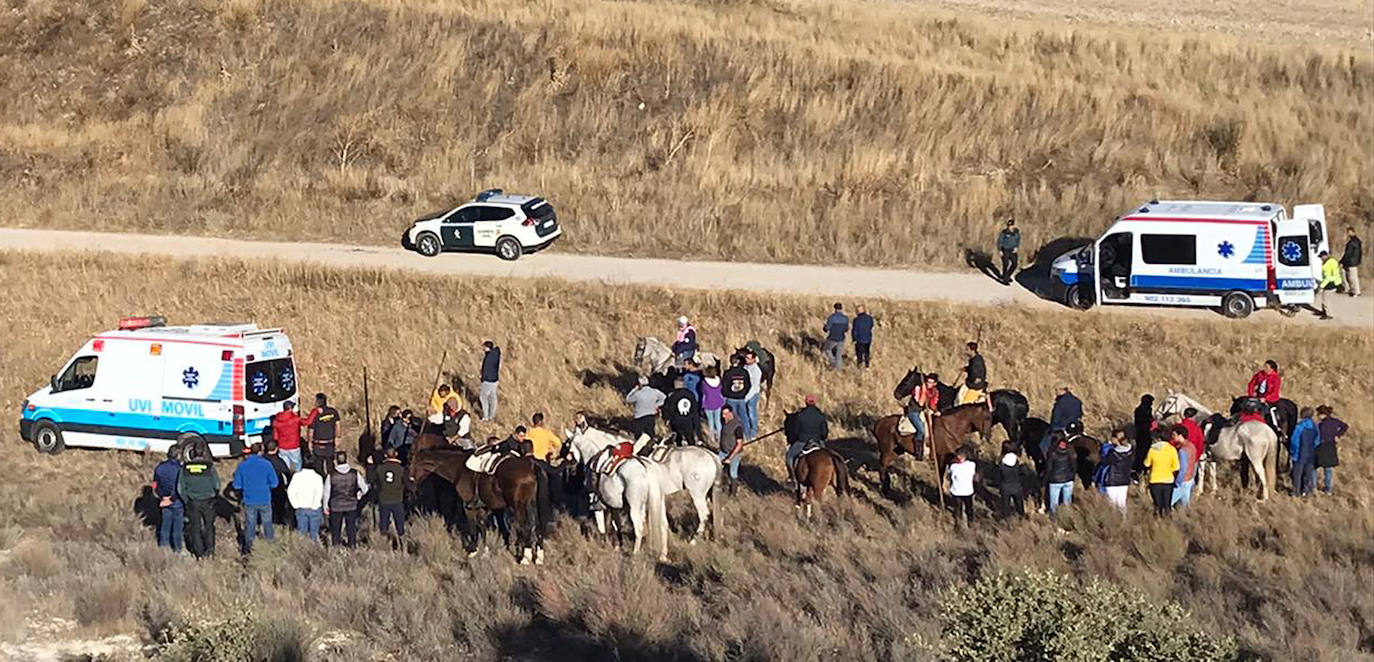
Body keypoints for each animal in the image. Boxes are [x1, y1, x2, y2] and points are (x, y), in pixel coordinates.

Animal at [406, 447, 552, 560]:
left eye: (411, 463)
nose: (410, 486)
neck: (459, 469)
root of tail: (530, 465)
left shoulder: (468, 506)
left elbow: (473, 527)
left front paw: (472, 550)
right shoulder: (484, 507)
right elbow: (482, 526)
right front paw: (485, 551)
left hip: (519, 506)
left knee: (526, 526)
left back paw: (525, 558)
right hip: (532, 504)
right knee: (537, 525)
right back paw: (538, 556)